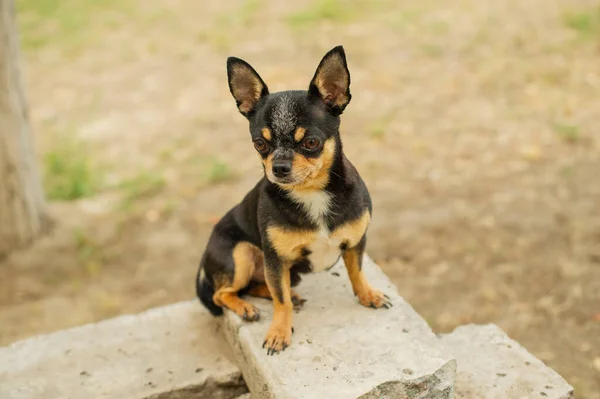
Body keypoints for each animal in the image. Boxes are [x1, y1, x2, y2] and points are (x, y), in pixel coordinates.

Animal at [197, 46, 392, 356]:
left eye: (311, 142)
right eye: (259, 144)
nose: (278, 167)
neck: (312, 193)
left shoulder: (355, 242)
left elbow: (357, 272)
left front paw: (367, 295)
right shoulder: (275, 260)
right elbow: (281, 300)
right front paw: (279, 332)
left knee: (254, 286)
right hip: (240, 254)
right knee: (223, 293)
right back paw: (246, 308)